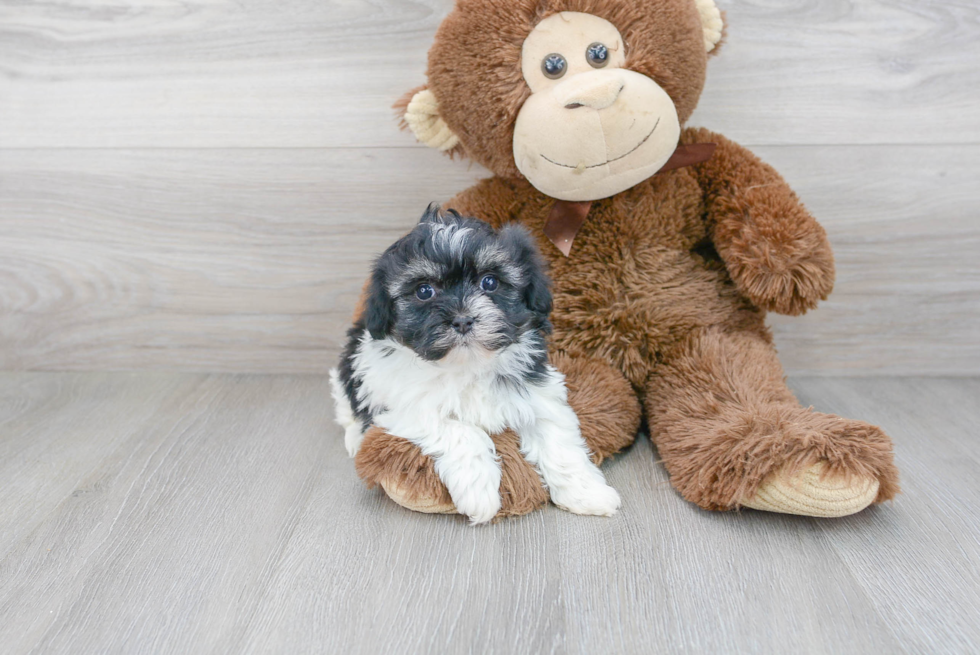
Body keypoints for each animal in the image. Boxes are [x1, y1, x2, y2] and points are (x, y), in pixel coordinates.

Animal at [332, 205, 620, 524]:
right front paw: (479, 492)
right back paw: (355, 438)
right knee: (347, 407)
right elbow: (462, 431)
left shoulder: (537, 393)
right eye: (424, 291)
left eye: (490, 282)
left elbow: (556, 435)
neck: (467, 365)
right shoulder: (404, 407)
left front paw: (587, 493)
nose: (462, 319)